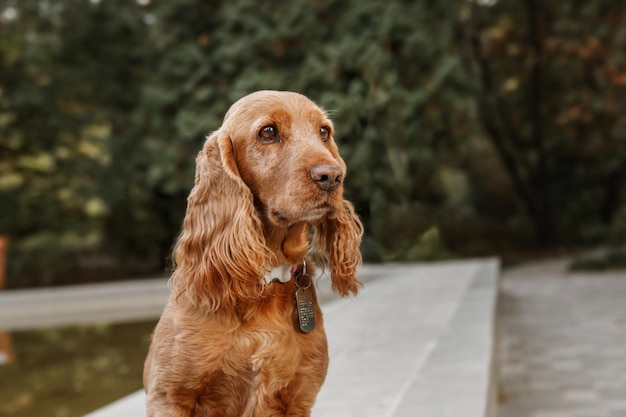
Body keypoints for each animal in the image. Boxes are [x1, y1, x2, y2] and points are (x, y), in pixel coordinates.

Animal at [143, 91, 360, 416]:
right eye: (268, 132)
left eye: (324, 132)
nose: (333, 175)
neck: (268, 275)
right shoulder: (169, 395)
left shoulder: (299, 395)